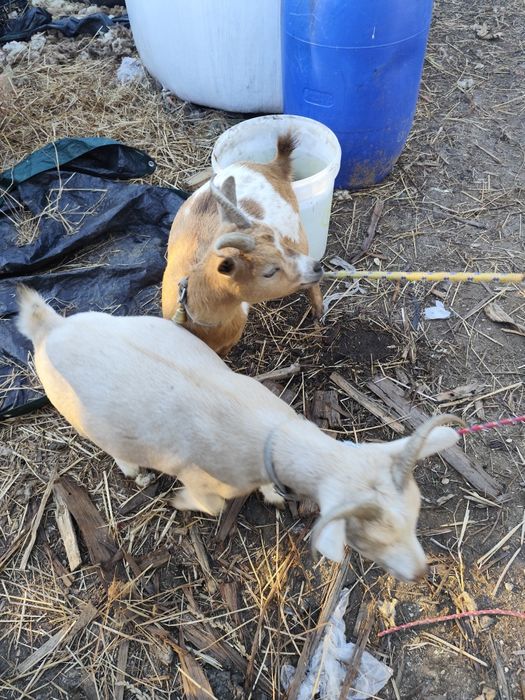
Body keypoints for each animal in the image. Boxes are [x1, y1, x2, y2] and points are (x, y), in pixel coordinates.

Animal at [17, 287, 461, 581]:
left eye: (415, 517)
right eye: (371, 540)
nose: (421, 573)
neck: (272, 439)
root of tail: (50, 327)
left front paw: (272, 496)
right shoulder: (202, 477)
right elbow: (210, 506)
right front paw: (179, 502)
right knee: (119, 454)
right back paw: (138, 475)